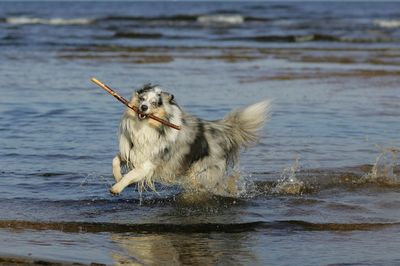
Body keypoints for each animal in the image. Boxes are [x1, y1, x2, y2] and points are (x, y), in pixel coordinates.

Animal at [111, 84, 270, 196]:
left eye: (154, 103)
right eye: (142, 99)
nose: (143, 107)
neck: (146, 126)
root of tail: (220, 129)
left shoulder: (149, 163)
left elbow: (131, 174)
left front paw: (116, 188)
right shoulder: (132, 151)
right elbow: (115, 160)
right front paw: (118, 177)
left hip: (203, 173)